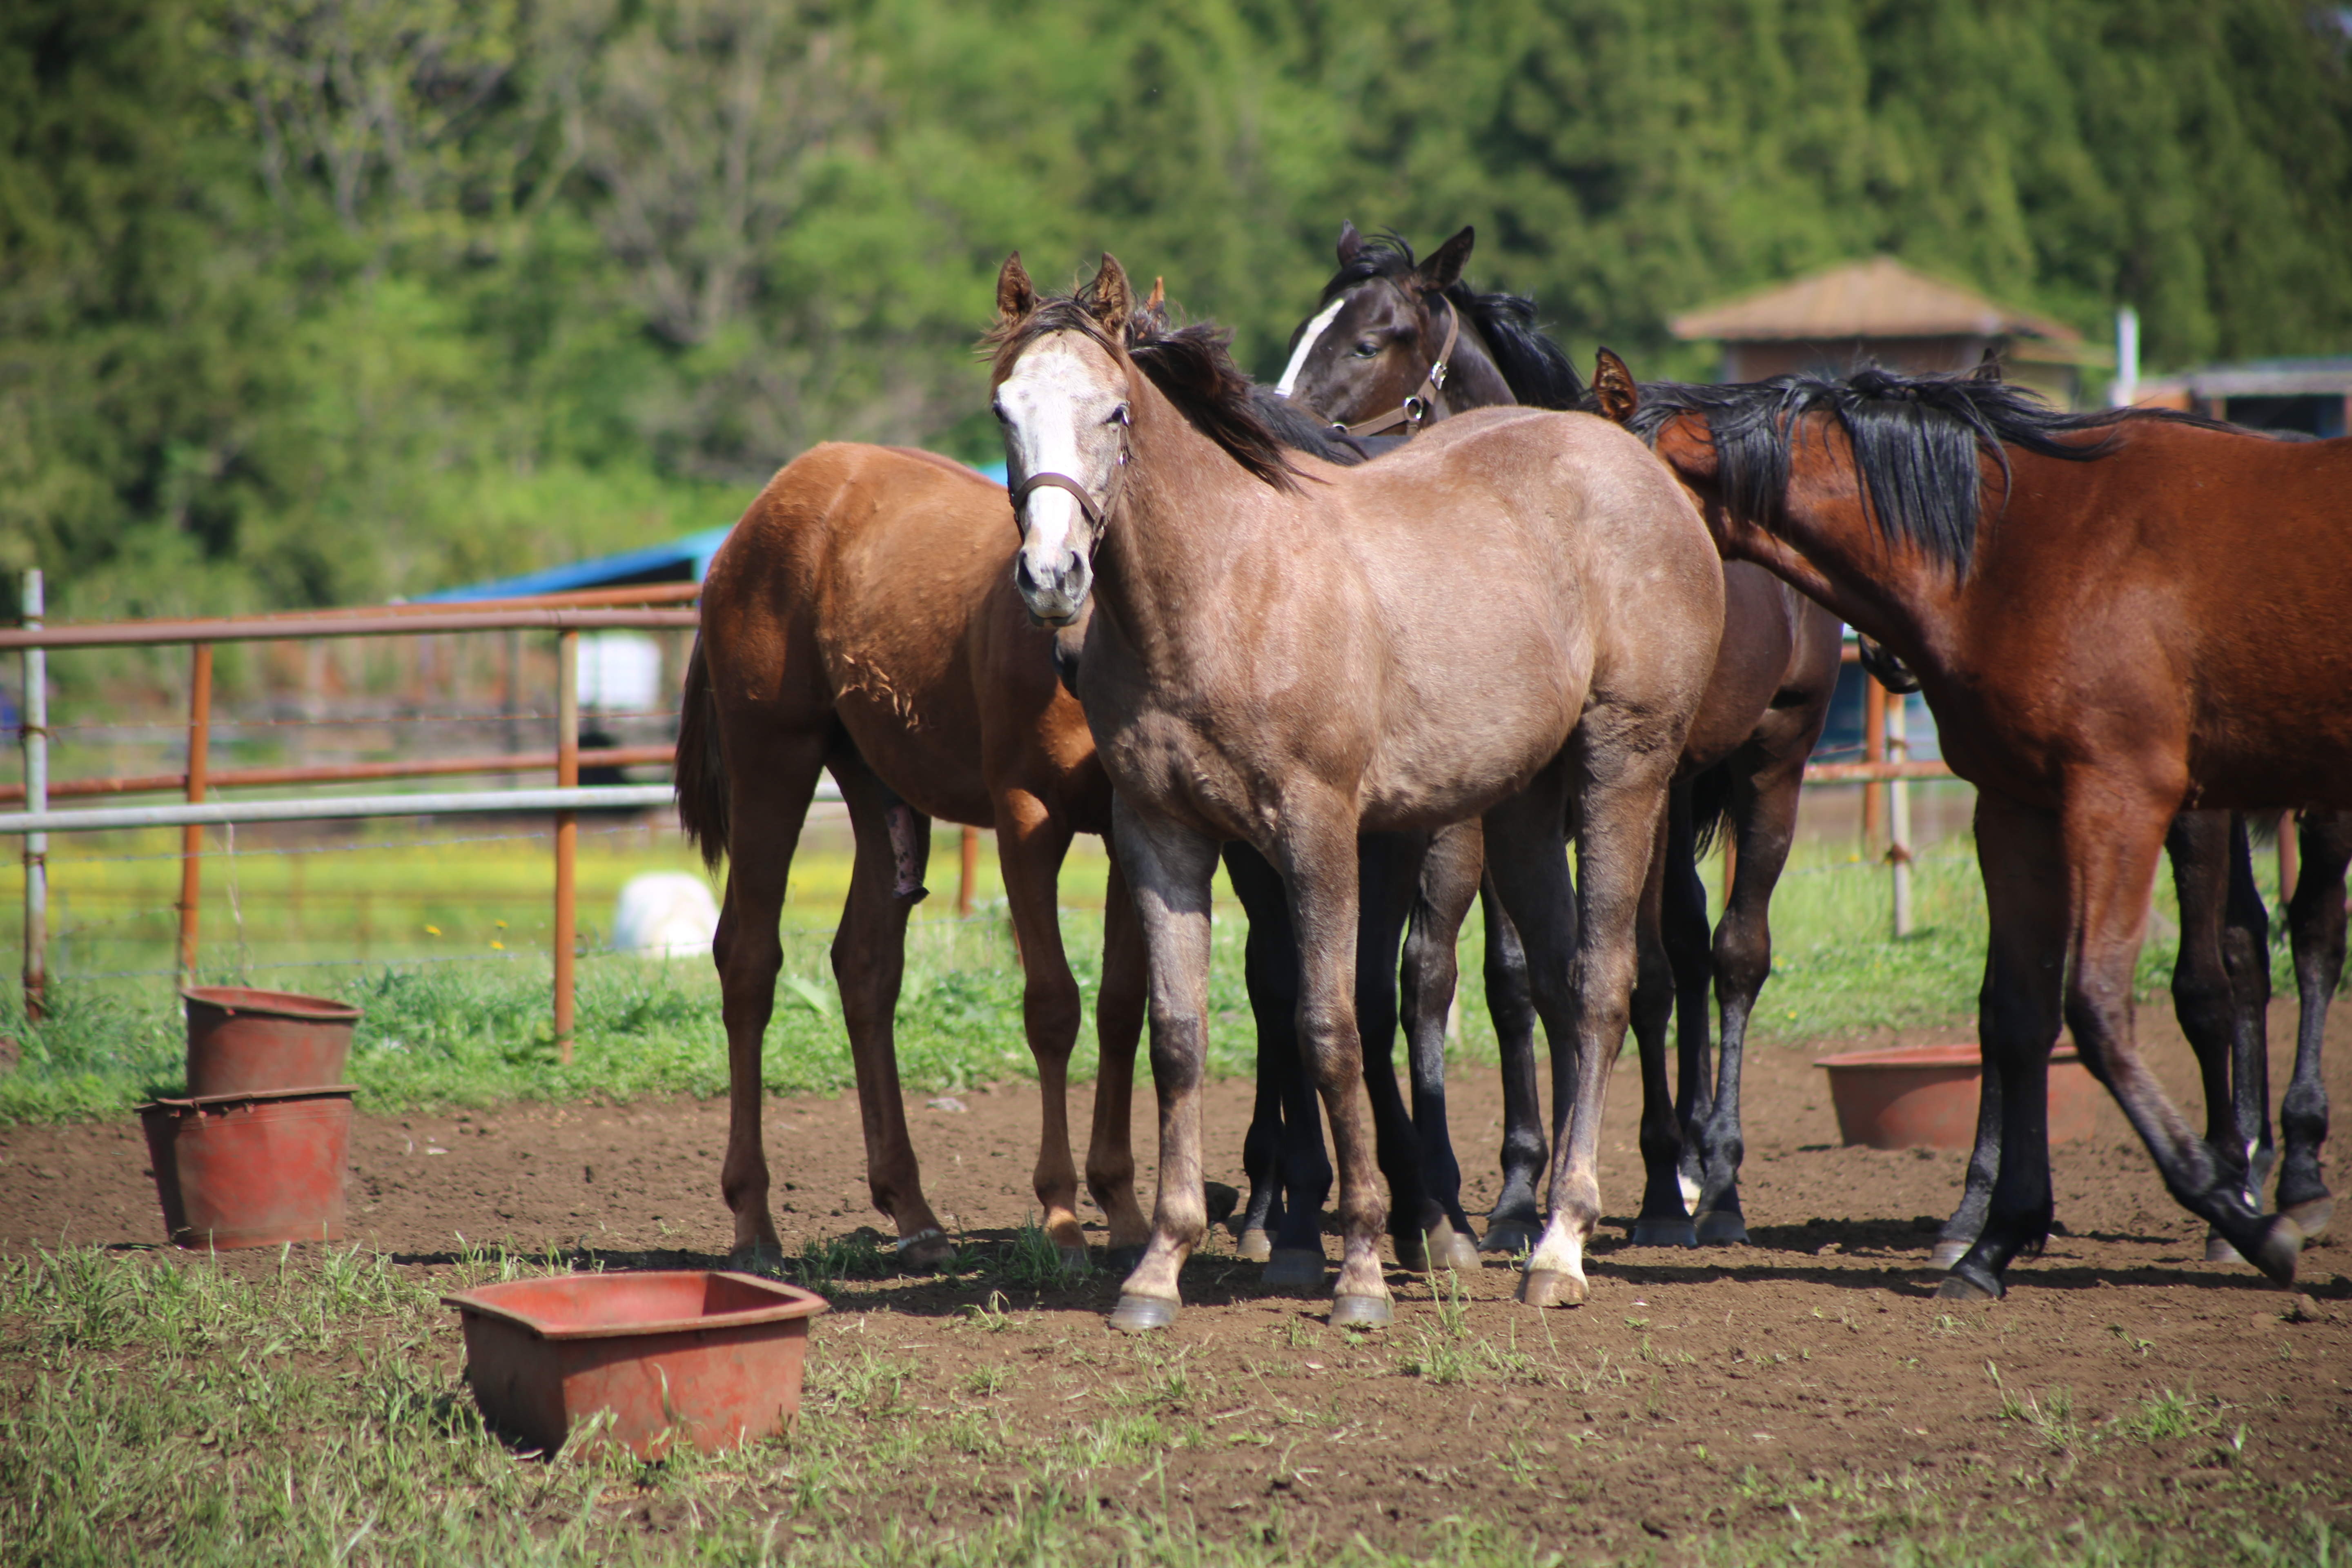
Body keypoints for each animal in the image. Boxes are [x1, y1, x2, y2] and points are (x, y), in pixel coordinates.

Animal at [668, 442, 1152, 1278]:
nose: (1060, 611)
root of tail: (760, 514)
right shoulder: (1027, 817)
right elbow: (1053, 1008)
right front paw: (1060, 1219)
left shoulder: (1134, 828)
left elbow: (1122, 1006)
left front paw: (1121, 1209)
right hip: (773, 762)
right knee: (749, 960)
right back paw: (755, 1223)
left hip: (878, 788)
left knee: (864, 967)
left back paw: (913, 1212)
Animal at [983, 255, 1722, 1326]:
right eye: (1004, 411)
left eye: (1114, 412)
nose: (1051, 577)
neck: (1223, 586)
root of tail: (1640, 472)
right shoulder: (1162, 834)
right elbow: (1178, 1038)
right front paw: (1158, 1266)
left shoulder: (1318, 829)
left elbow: (1330, 1027)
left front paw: (1367, 1265)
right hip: (1520, 806)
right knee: (1550, 983)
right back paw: (1529, 1219)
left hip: (1622, 768)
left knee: (1601, 985)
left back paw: (1561, 1246)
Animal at [1279, 221, 1844, 1250]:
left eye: (1369, 341)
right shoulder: (1508, 809)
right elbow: (1515, 982)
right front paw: (1513, 1192)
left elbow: (1631, 971)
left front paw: (1650, 1181)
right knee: (1688, 943)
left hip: (1769, 762)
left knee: (1728, 955)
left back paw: (1713, 1181)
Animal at [1627, 364, 2352, 1297]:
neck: (2019, 549)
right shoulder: (2016, 804)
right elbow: (2016, 1015)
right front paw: (1991, 1235)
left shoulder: (2133, 796)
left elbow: (2138, 1000)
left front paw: (2238, 1214)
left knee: (2311, 939)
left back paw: (2289, 1176)